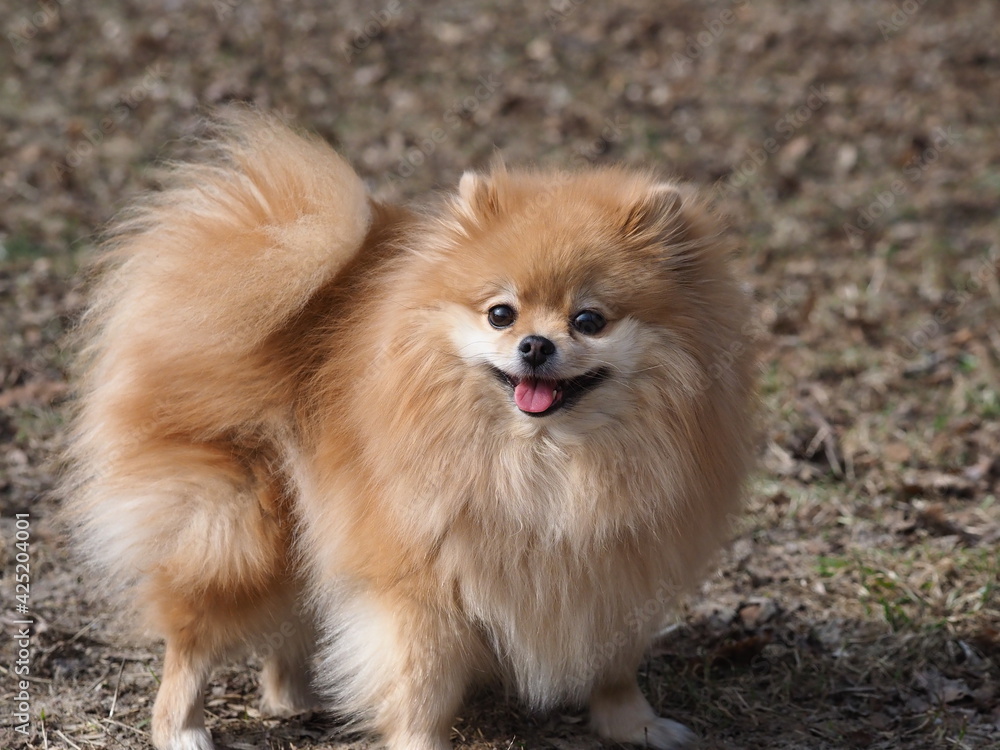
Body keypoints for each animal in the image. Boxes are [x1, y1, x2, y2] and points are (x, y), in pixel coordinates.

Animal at [62, 111, 752, 750]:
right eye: (501, 314)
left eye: (589, 320)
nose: (534, 345)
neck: (546, 462)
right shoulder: (420, 585)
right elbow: (421, 685)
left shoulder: (618, 567)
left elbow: (614, 667)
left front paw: (634, 724)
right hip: (242, 527)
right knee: (193, 637)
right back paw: (182, 727)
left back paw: (295, 695)